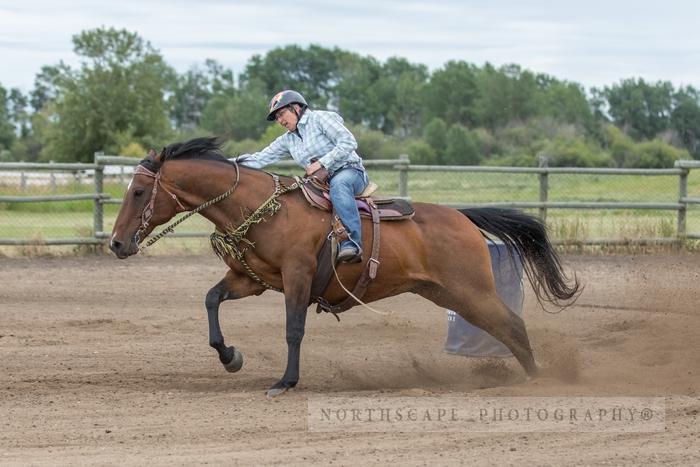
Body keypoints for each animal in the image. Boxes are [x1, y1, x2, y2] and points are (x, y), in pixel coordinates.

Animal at [109, 137, 580, 396]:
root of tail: (462, 216)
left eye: (138, 192)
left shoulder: (298, 277)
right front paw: (231, 357)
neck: (264, 210)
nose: (116, 243)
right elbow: (211, 300)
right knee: (503, 327)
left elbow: (293, 330)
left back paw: (541, 379)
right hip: (449, 293)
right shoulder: (251, 279)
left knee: (511, 324)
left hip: (471, 290)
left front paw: (286, 382)